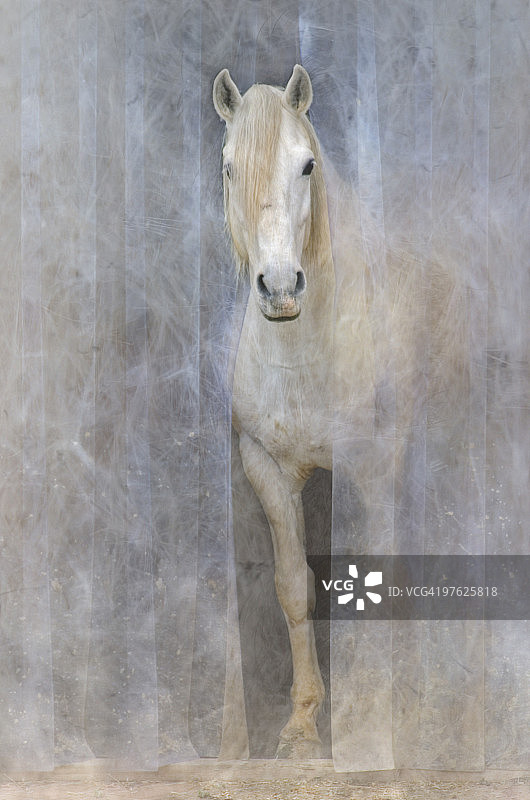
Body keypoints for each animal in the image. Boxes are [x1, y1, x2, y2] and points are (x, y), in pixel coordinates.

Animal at [213, 65, 467, 758]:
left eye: (306, 165)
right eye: (229, 166)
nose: (279, 287)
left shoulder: (372, 469)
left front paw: (379, 717)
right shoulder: (267, 469)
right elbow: (293, 587)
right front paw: (302, 721)